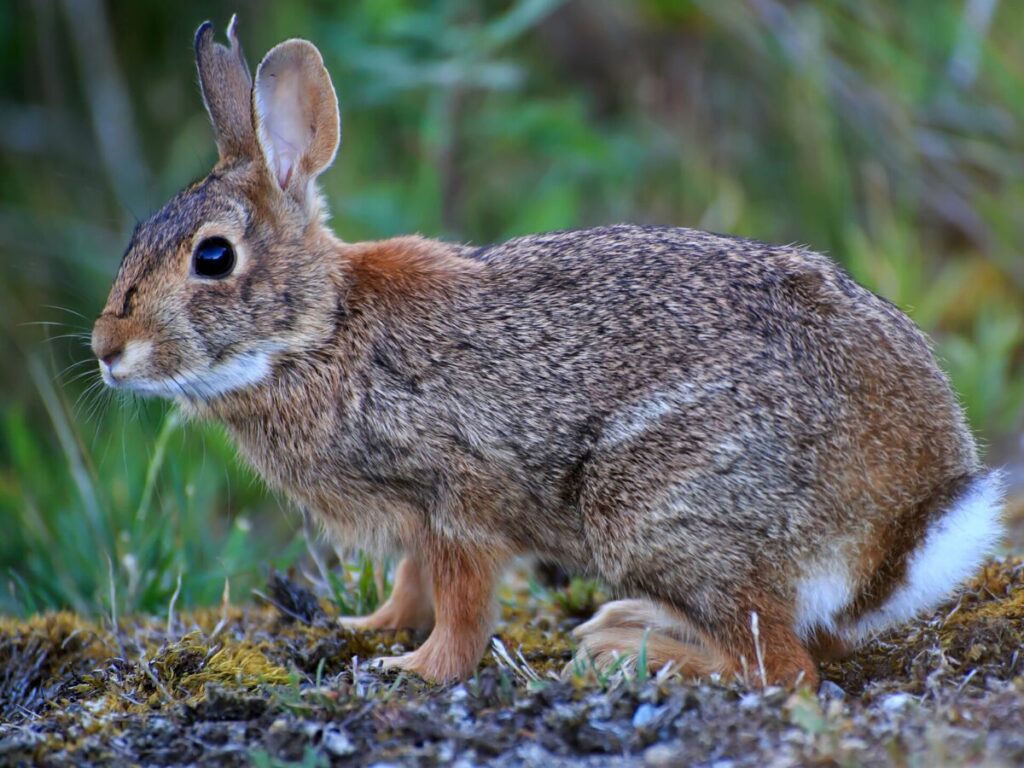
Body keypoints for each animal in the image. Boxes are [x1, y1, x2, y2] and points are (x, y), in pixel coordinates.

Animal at [92, 19, 1003, 692]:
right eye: (137, 234)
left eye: (213, 258)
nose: (107, 350)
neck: (318, 332)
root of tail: (899, 527)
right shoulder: (417, 520)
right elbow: (412, 582)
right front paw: (370, 627)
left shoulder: (459, 498)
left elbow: (463, 605)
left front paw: (416, 668)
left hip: (654, 510)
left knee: (785, 668)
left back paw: (630, 651)